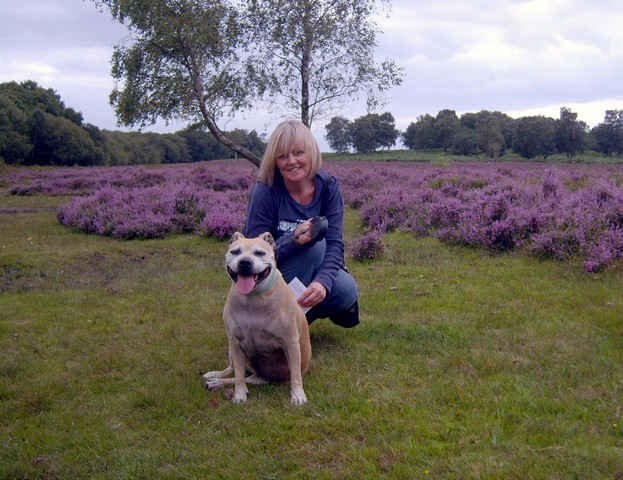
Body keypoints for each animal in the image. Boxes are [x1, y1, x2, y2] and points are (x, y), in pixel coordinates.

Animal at [205, 231, 312, 404]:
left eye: (259, 253)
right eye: (235, 252)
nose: (244, 262)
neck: (253, 298)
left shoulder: (290, 342)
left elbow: (295, 374)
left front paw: (298, 395)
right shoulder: (235, 342)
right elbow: (239, 374)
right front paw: (239, 394)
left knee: (247, 377)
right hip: (231, 349)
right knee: (234, 371)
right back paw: (216, 378)